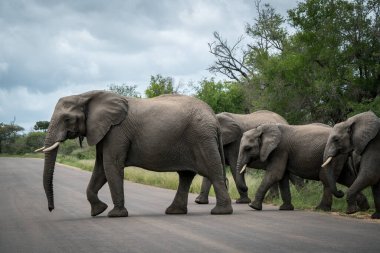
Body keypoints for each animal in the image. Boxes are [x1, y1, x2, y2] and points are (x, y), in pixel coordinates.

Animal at [40, 91, 233, 217]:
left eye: (67, 119)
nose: (50, 209)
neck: (85, 95)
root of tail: (213, 117)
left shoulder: (116, 131)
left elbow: (111, 165)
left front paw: (115, 214)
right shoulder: (105, 132)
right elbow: (101, 168)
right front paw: (98, 211)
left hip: (201, 137)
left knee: (212, 171)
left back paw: (221, 212)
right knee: (185, 175)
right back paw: (174, 212)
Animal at [236, 122, 370, 211]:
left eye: (248, 148)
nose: (246, 188)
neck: (262, 129)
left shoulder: (280, 149)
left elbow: (275, 174)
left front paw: (253, 206)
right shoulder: (282, 152)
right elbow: (282, 177)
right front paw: (285, 208)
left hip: (335, 155)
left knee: (327, 179)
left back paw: (321, 209)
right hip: (340, 157)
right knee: (346, 178)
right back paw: (363, 208)